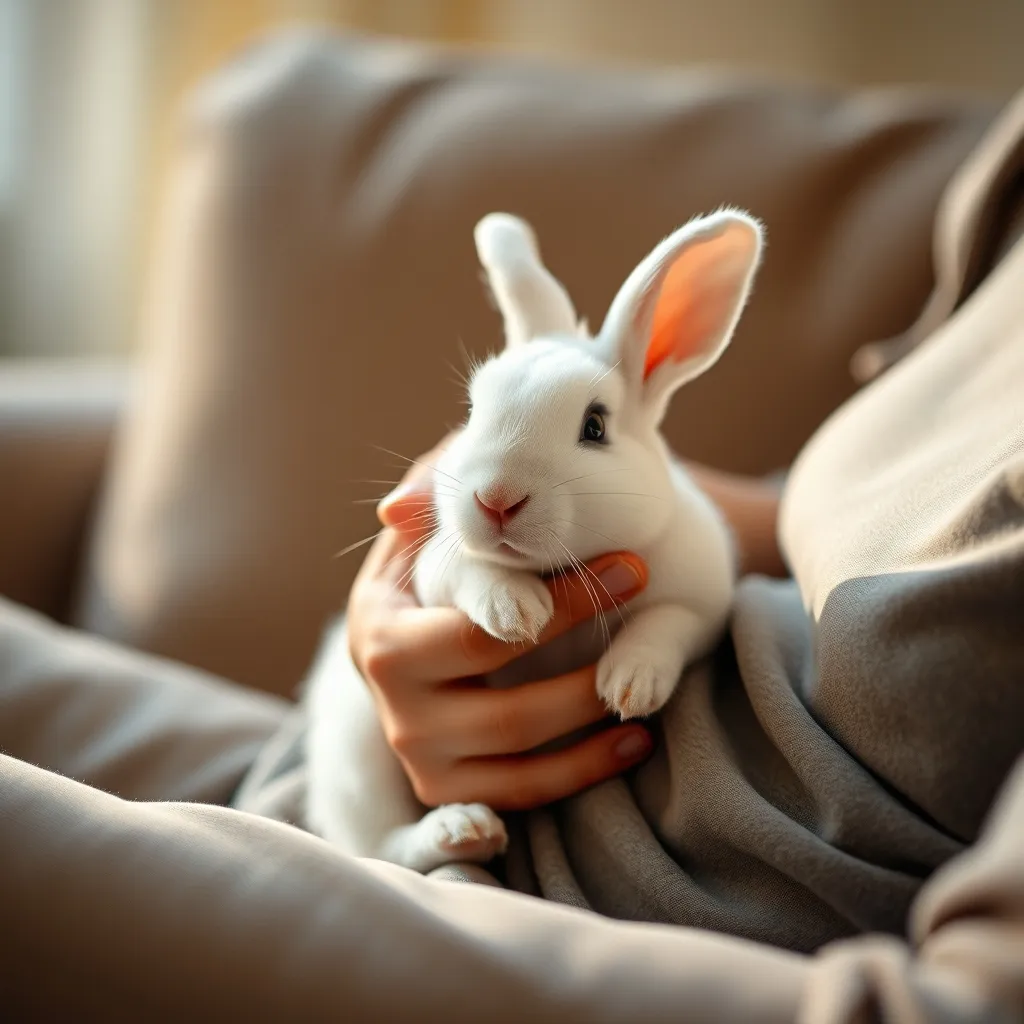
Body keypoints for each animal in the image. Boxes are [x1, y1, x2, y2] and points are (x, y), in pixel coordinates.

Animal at [304, 208, 765, 873]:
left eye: (595, 426)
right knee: (383, 844)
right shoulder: (435, 570)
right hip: (358, 752)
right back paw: (462, 829)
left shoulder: (705, 602)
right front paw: (514, 611)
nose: (495, 499)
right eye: (473, 412)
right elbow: (473, 572)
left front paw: (629, 683)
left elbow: (669, 623)